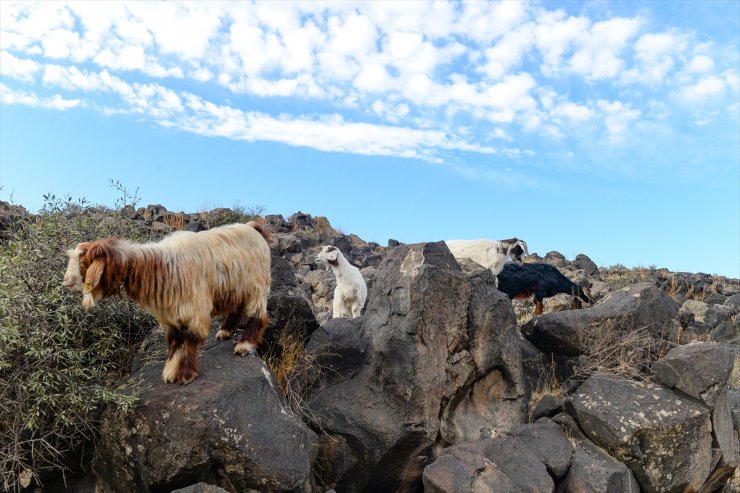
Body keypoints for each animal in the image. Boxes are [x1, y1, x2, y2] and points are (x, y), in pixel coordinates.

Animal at [62, 220, 272, 384]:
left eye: (83, 263)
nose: (66, 281)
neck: (161, 266)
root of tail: (255, 229)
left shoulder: (194, 308)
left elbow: (189, 339)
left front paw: (186, 374)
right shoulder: (171, 311)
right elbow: (175, 340)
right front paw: (170, 371)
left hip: (257, 285)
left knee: (257, 315)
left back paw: (244, 345)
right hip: (236, 286)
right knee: (236, 308)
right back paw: (225, 331)